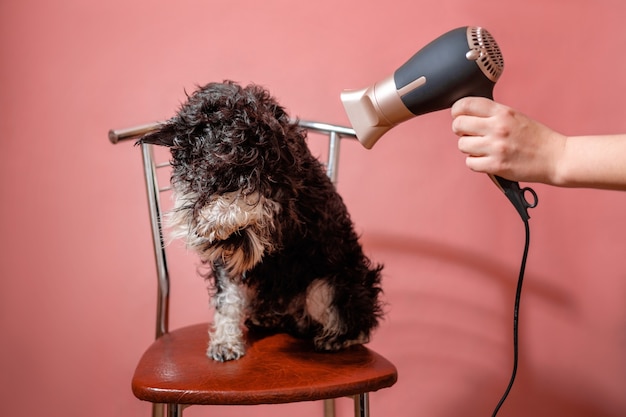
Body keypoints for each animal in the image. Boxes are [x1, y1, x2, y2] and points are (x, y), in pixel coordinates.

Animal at [138, 81, 380, 360]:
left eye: (233, 174)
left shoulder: (282, 202)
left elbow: (255, 202)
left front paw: (214, 218)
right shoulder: (227, 260)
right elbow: (228, 299)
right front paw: (225, 342)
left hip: (329, 284)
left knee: (357, 322)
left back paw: (337, 338)